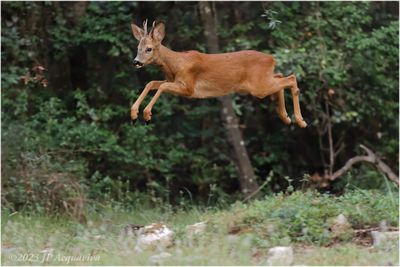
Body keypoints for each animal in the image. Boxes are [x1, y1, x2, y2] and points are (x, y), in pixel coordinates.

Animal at [130, 20, 308, 128]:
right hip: (263, 81)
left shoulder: (189, 88)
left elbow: (162, 86)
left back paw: (300, 121)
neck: (175, 64)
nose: (136, 62)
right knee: (281, 76)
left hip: (259, 87)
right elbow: (152, 83)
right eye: (138, 47)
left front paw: (146, 115)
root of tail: (272, 59)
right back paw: (286, 118)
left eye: (149, 49)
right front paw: (133, 113)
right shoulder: (172, 80)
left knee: (291, 78)